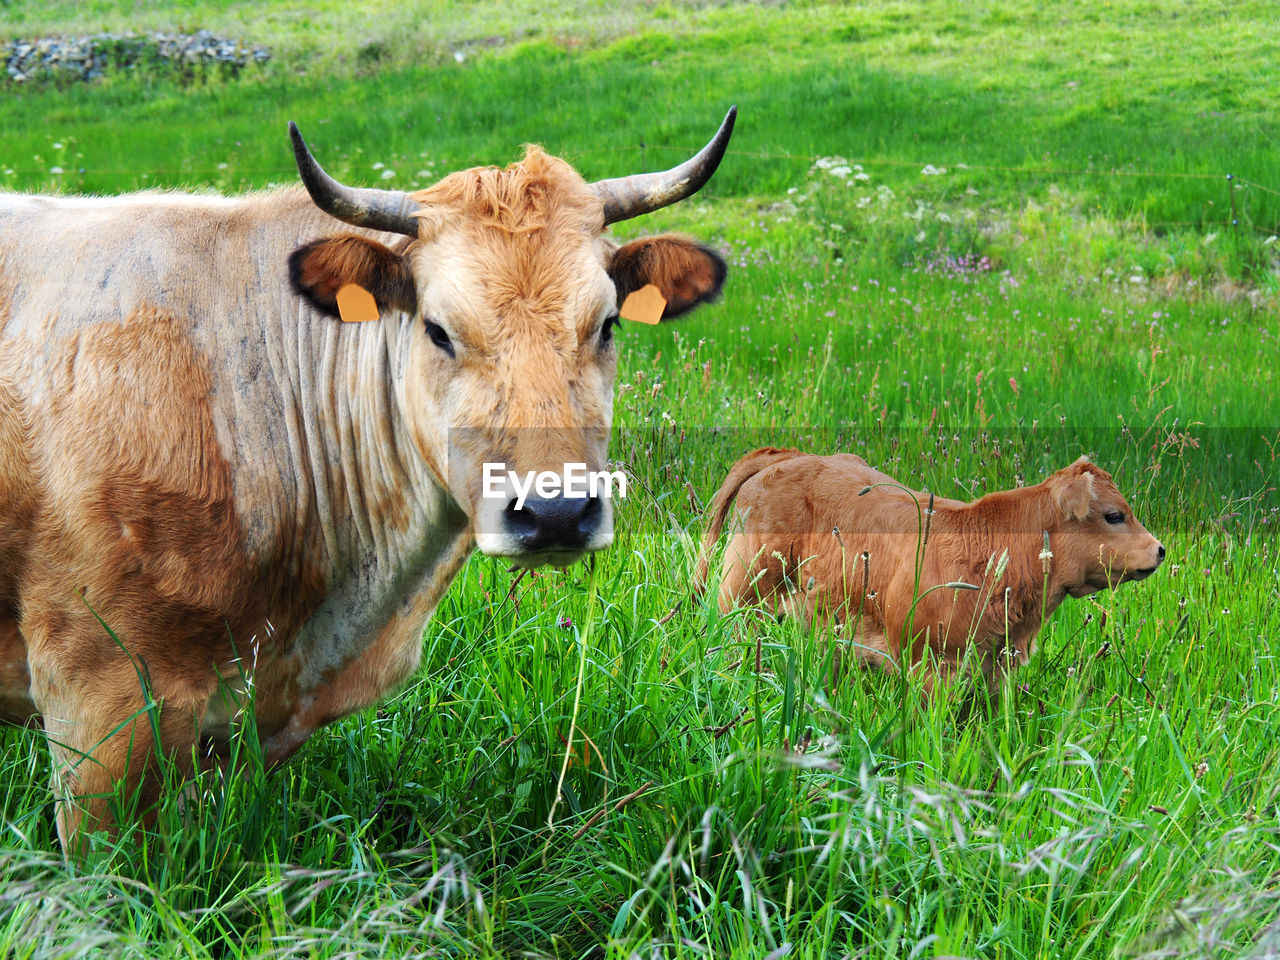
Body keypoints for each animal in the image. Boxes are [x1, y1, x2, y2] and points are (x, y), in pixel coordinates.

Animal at [696, 448, 1167, 696]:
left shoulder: (999, 666)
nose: (1161, 550)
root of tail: (793, 456)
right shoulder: (930, 666)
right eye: (1113, 515)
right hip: (744, 593)